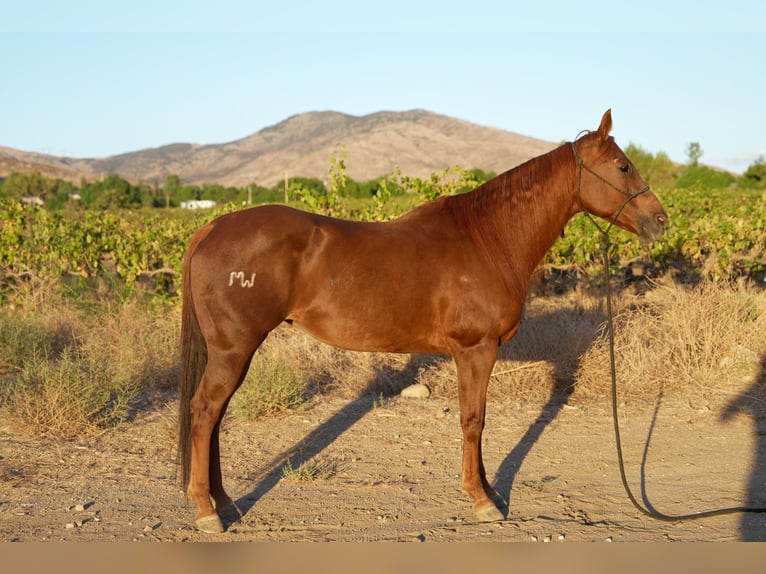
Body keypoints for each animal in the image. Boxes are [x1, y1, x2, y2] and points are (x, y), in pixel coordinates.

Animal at [178, 109, 667, 533]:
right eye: (623, 166)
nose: (660, 220)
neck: (487, 239)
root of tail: (212, 227)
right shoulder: (475, 350)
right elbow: (473, 420)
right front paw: (482, 500)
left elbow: (478, 420)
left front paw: (489, 491)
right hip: (234, 350)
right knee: (204, 413)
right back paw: (207, 511)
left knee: (214, 418)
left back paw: (225, 502)